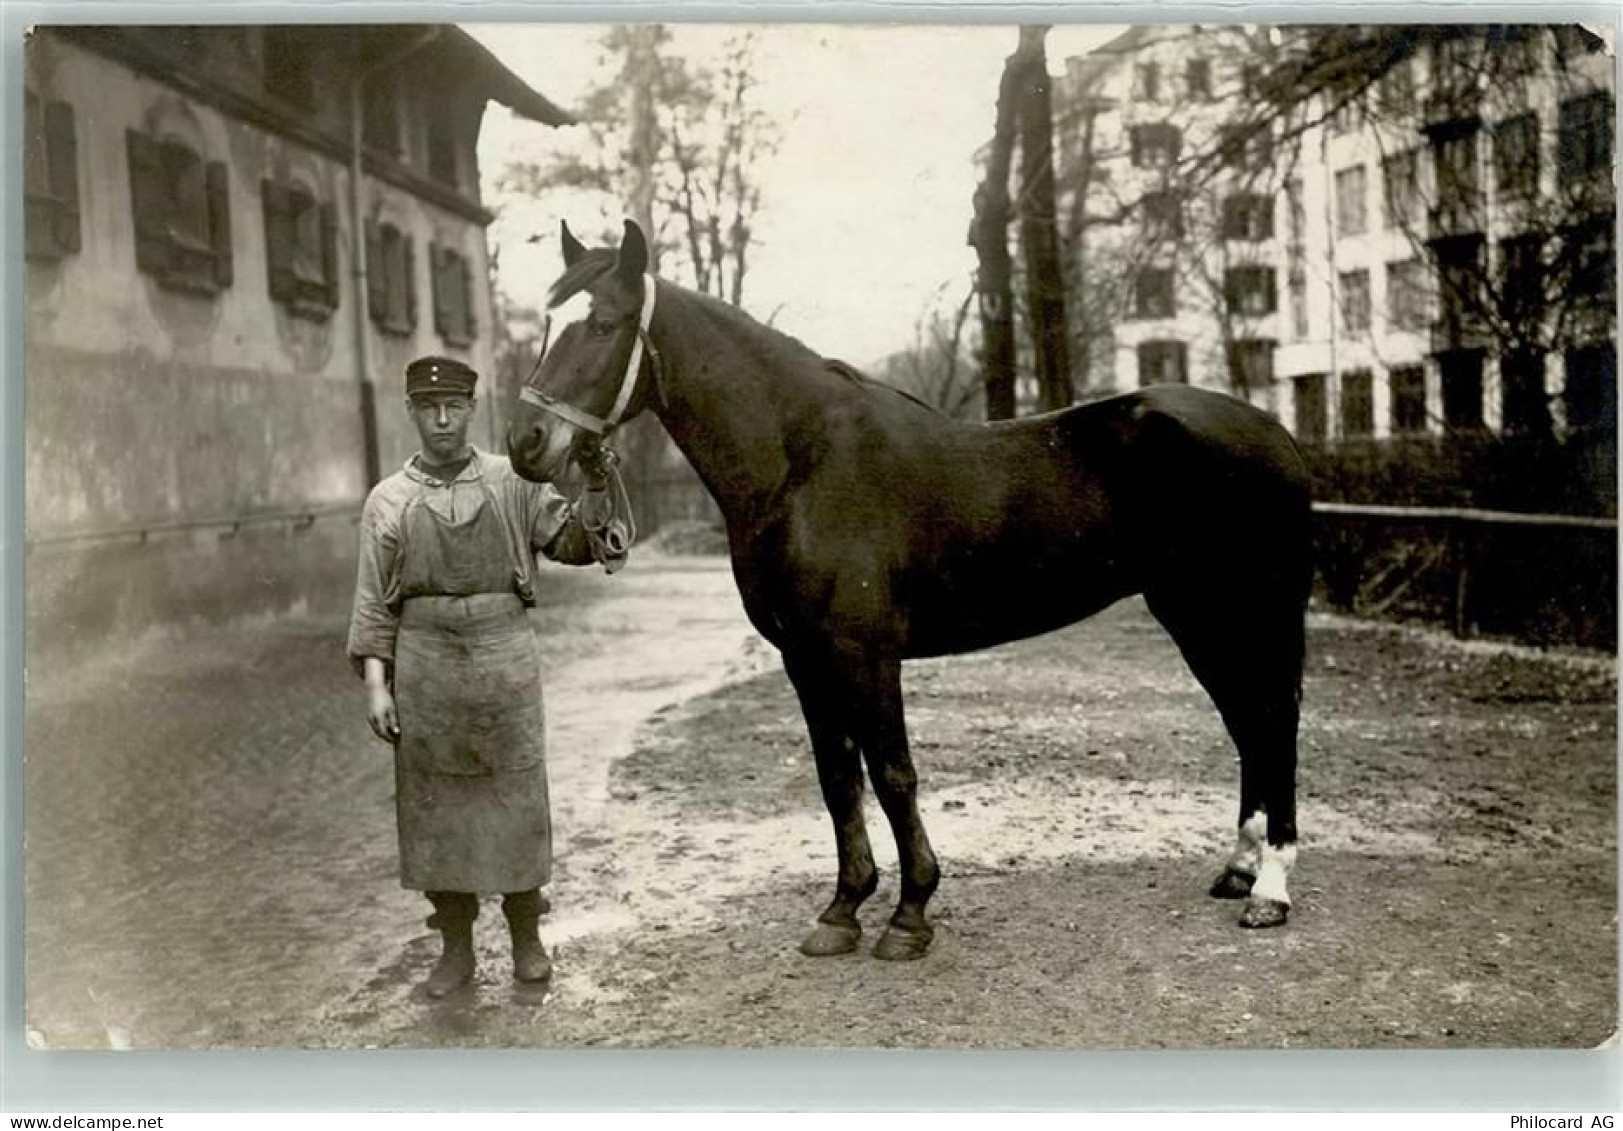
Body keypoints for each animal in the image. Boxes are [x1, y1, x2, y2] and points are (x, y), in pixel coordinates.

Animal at [508, 220, 1314, 962]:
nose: (526, 443)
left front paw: (910, 914)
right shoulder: (804, 659)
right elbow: (838, 778)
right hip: (1195, 614)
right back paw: (1239, 871)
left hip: (1244, 609)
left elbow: (893, 774)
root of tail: (1276, 431)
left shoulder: (866, 654)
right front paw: (842, 910)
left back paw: (1271, 891)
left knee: (1271, 721)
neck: (801, 465)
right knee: (1248, 722)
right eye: (547, 321)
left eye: (603, 324)